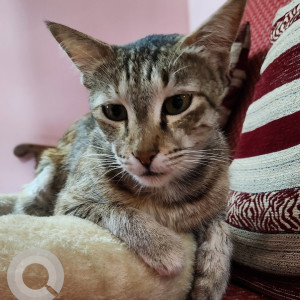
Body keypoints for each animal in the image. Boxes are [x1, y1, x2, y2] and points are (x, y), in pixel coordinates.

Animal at [6, 1, 246, 298]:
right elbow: (115, 209)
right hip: (46, 174)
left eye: (178, 103)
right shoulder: (69, 202)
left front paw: (213, 276)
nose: (143, 155)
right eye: (114, 111)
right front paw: (165, 246)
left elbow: (222, 227)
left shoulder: (219, 198)